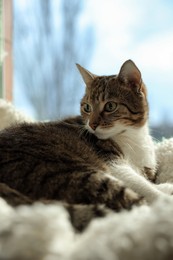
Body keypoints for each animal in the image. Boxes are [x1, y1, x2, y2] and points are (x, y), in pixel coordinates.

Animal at [0, 60, 172, 215]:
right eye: (87, 107)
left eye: (110, 106)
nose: (92, 124)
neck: (132, 136)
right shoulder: (114, 165)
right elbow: (142, 185)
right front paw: (163, 194)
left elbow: (149, 181)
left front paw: (166, 187)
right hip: (72, 174)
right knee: (132, 203)